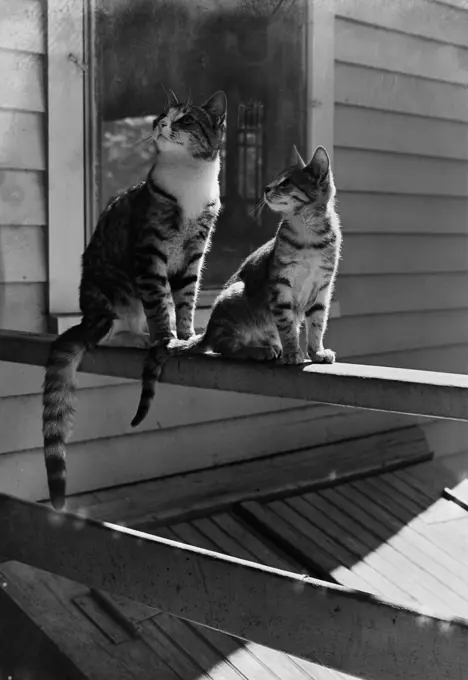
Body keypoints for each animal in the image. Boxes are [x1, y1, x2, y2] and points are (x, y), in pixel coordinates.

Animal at [43, 87, 228, 508]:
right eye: (162, 114)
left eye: (186, 119)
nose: (159, 124)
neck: (188, 179)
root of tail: (86, 316)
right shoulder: (149, 253)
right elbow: (160, 303)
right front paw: (164, 338)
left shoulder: (194, 254)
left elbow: (186, 299)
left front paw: (186, 334)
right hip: (110, 301)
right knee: (108, 334)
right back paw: (139, 337)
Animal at [132, 145, 340, 428]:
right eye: (276, 179)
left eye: (286, 182)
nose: (266, 188)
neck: (310, 236)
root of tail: (208, 329)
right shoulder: (281, 286)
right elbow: (287, 325)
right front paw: (293, 352)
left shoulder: (322, 289)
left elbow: (317, 324)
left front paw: (316, 352)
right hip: (236, 294)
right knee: (225, 347)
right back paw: (259, 351)